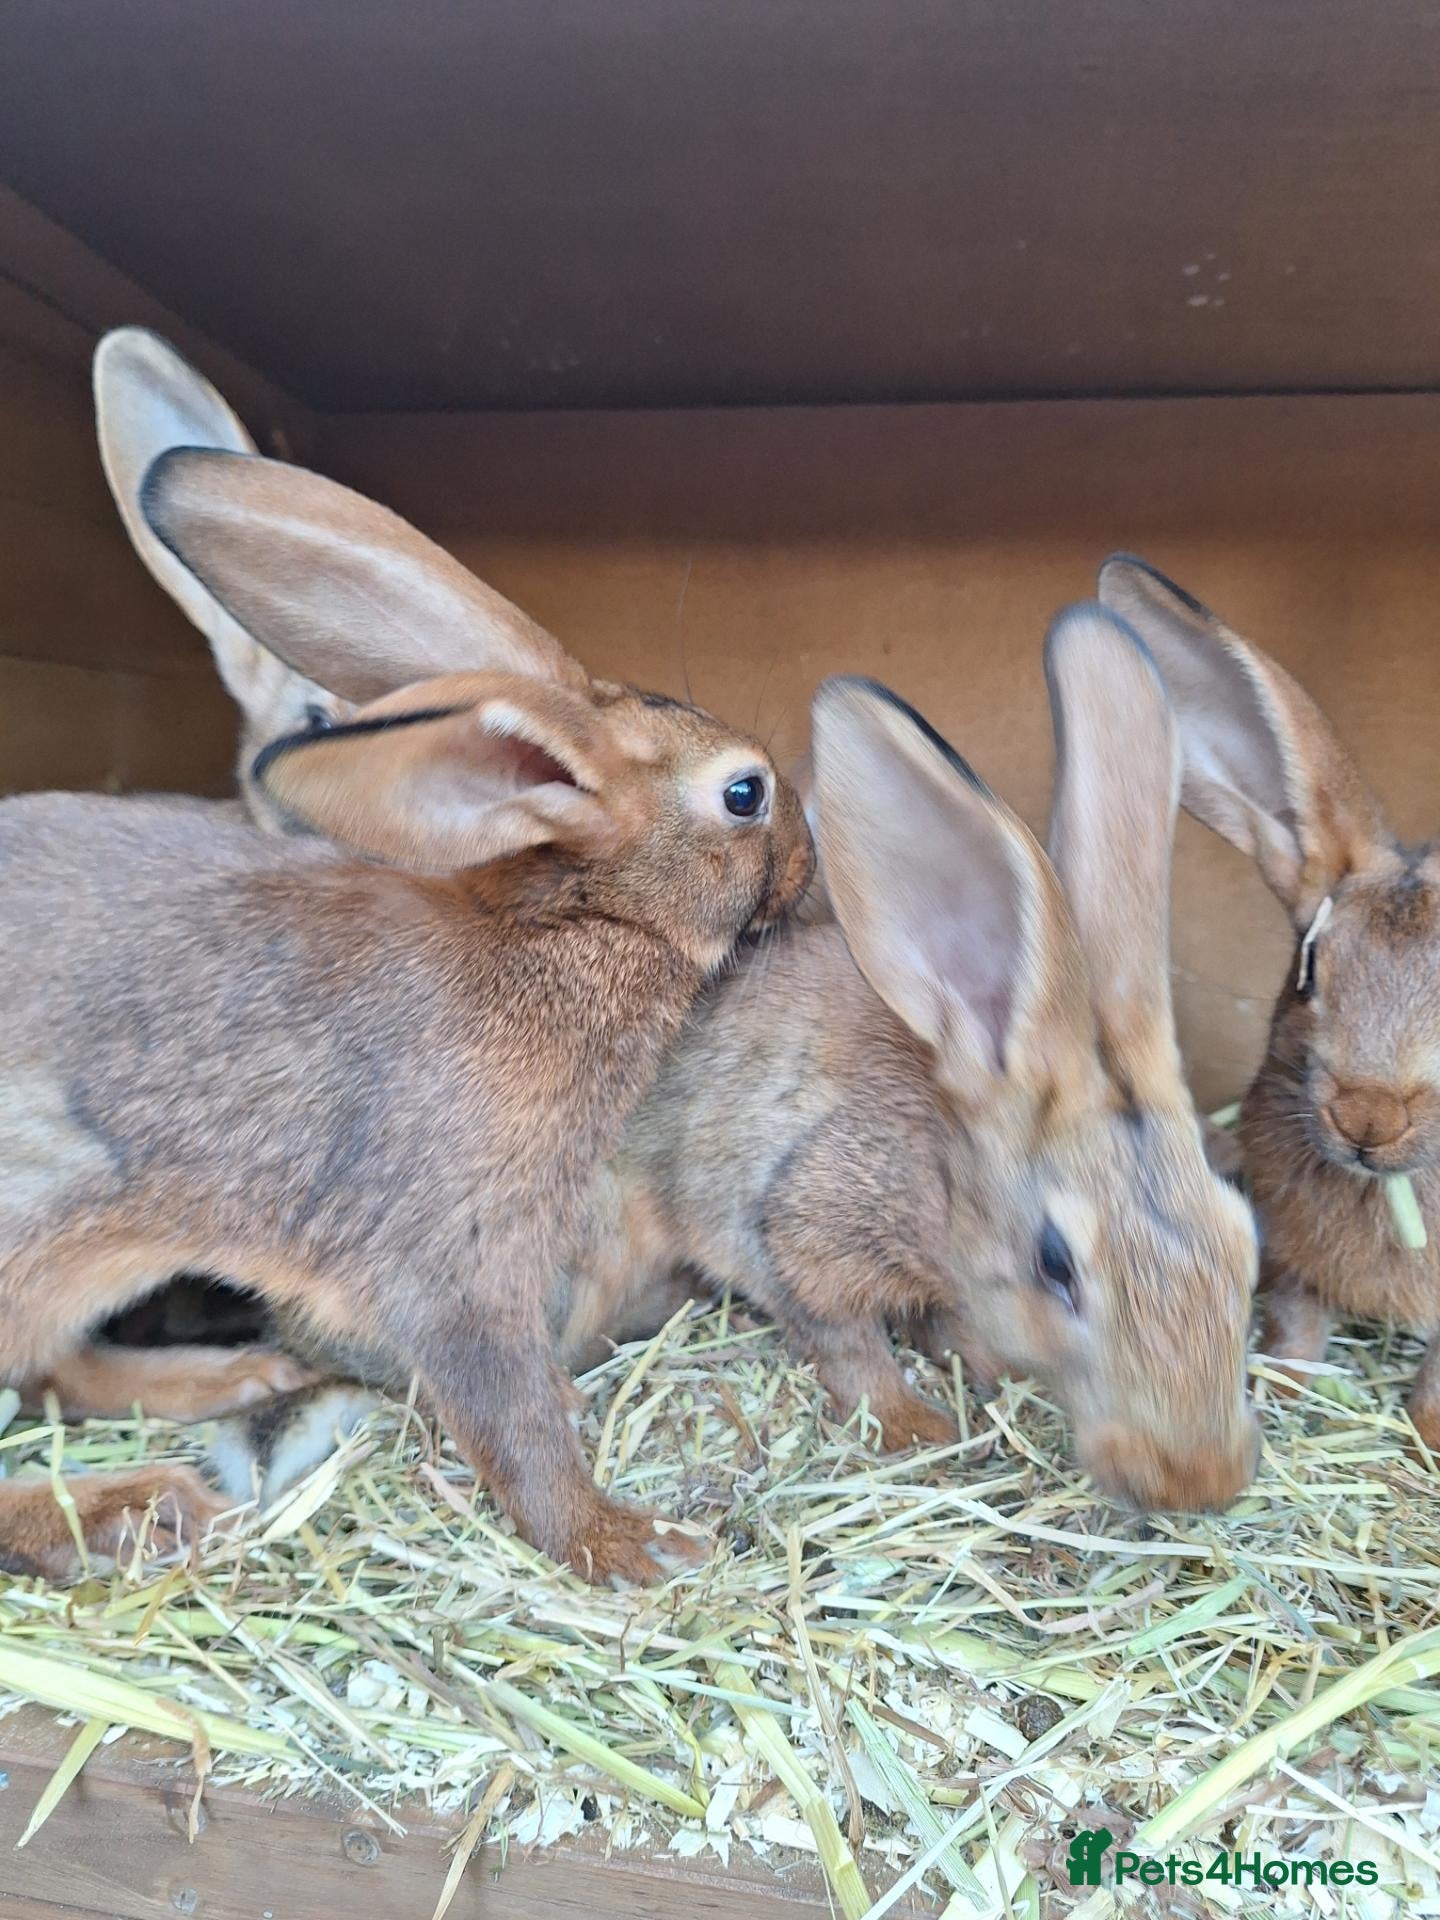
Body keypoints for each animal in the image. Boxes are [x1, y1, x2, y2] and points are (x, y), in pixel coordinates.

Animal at [0, 441, 813, 1583]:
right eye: (745, 795)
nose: (811, 860)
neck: (570, 928)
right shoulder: (460, 1260)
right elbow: (510, 1422)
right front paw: (628, 1545)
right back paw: (137, 1508)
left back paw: (225, 1383)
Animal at [1099, 554, 1440, 1452]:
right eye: (1311, 969)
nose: (1366, 1117)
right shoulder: (1290, 1266)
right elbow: (1294, 1327)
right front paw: (1280, 1391)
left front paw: (1428, 1433)